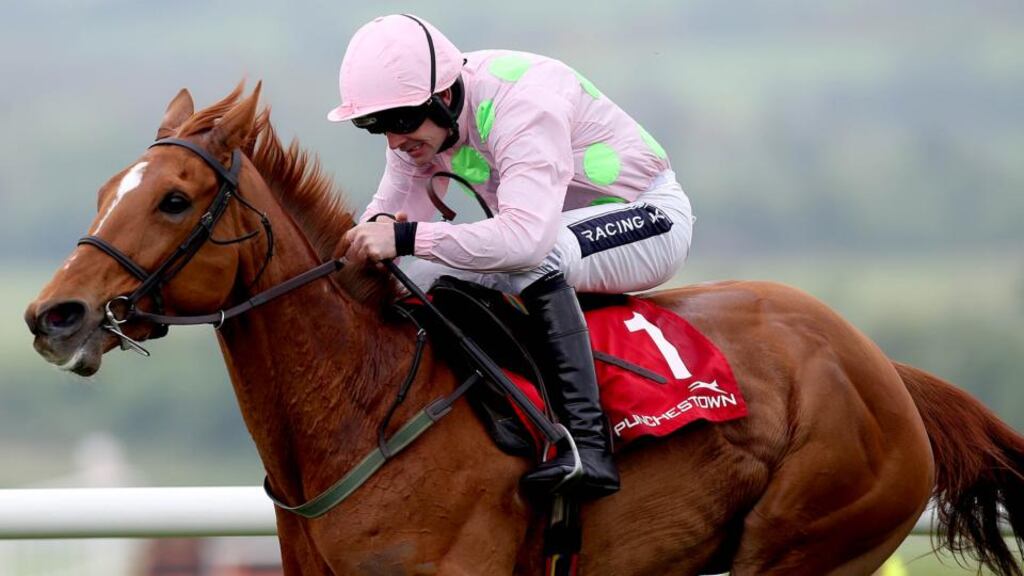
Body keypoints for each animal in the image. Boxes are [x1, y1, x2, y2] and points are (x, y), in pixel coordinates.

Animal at [23, 83, 1024, 575]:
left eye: (174, 198)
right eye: (108, 189)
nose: (51, 316)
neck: (365, 411)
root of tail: (884, 368)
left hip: (808, 545)